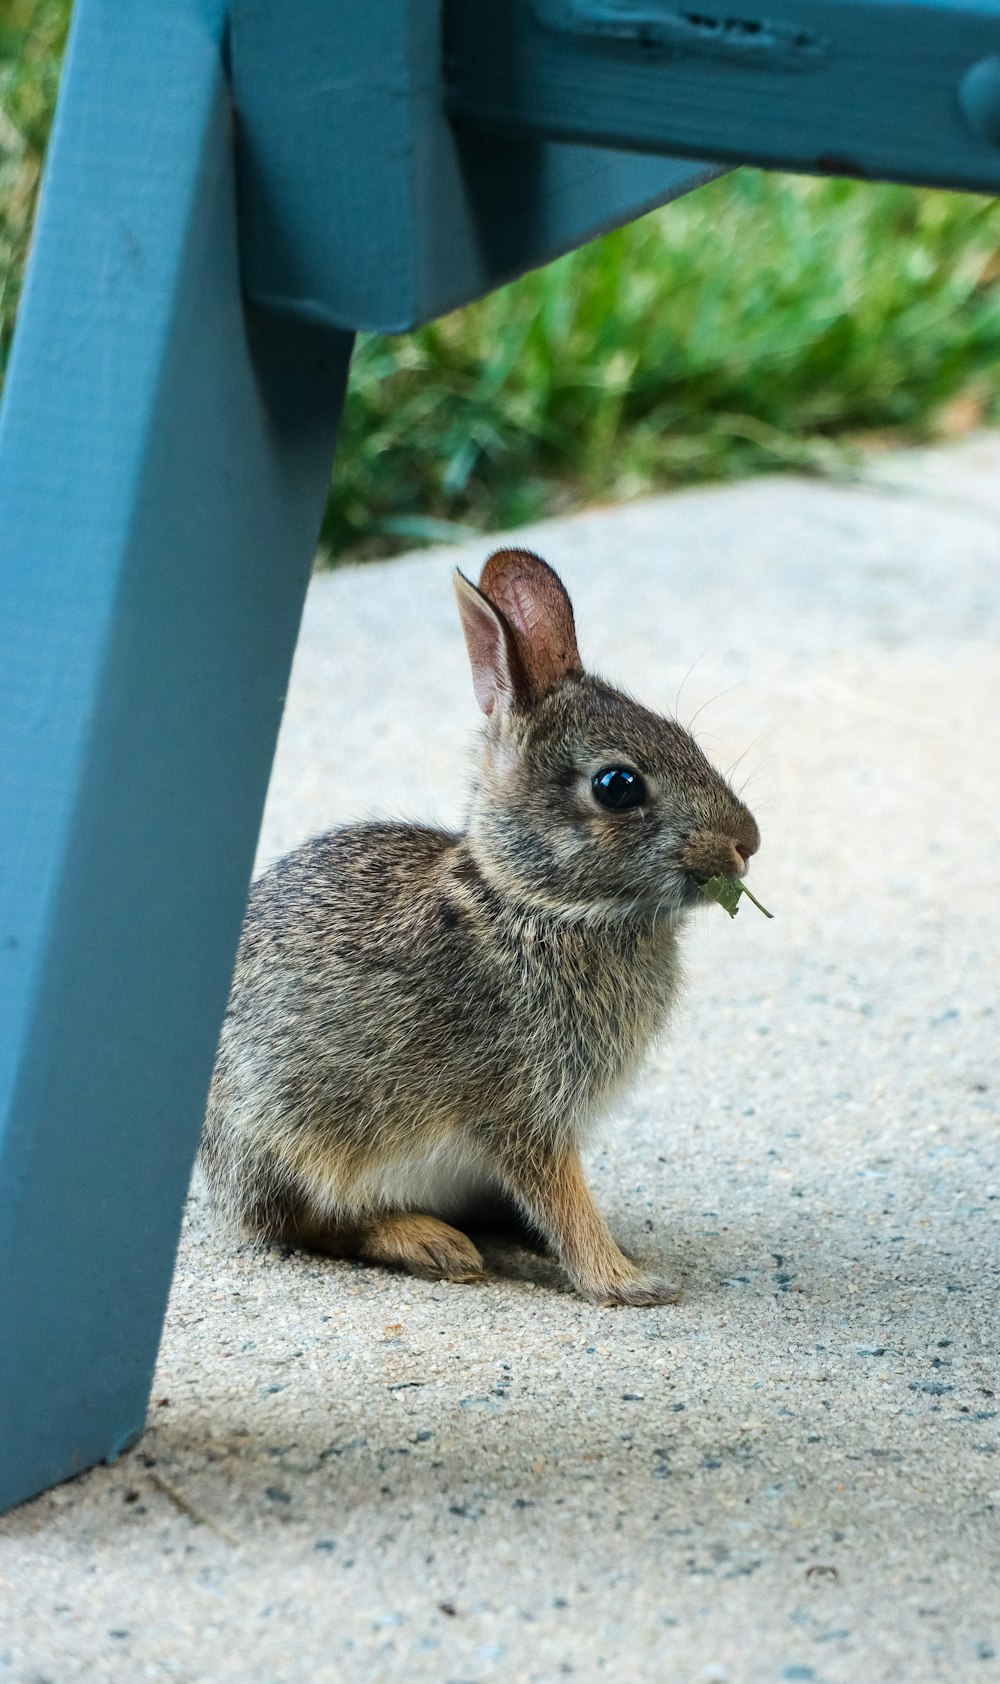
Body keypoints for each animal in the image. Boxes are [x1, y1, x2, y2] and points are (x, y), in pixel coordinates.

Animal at [198, 545, 757, 1306]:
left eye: (685, 739)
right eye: (618, 786)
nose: (748, 844)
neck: (535, 904)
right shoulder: (521, 1109)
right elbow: (562, 1200)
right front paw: (625, 1282)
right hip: (288, 1135)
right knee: (310, 1222)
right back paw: (433, 1243)